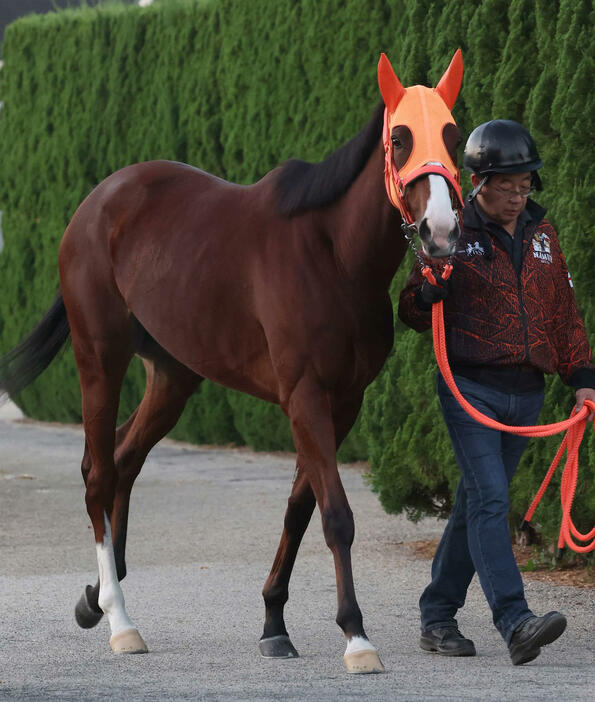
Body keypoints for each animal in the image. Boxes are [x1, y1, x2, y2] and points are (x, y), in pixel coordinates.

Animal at [0, 51, 466, 676]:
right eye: (399, 138)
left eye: (453, 135)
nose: (440, 233)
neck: (331, 255)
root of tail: (97, 203)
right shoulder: (305, 396)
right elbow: (335, 515)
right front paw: (356, 637)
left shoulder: (342, 402)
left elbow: (300, 509)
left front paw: (274, 625)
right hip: (99, 355)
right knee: (98, 474)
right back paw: (121, 622)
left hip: (173, 375)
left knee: (123, 461)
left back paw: (97, 597)